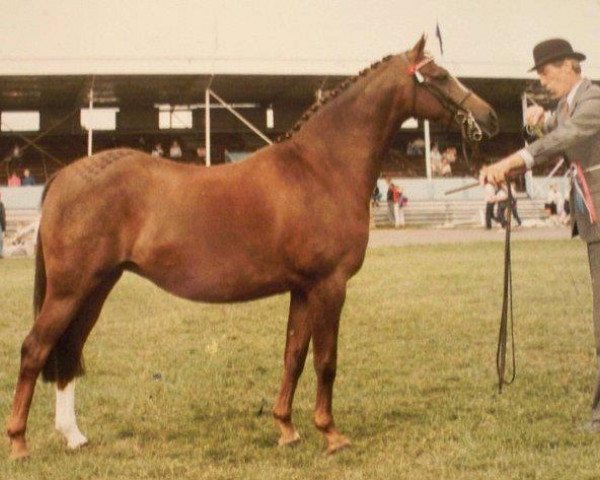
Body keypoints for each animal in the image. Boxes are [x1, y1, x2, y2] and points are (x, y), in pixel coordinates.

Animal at [8, 36, 496, 458]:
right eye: (438, 75)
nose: (489, 118)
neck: (321, 168)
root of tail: (64, 175)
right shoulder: (329, 285)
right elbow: (326, 361)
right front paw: (331, 434)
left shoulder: (303, 288)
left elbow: (293, 356)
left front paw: (287, 428)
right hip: (70, 289)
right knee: (35, 349)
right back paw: (19, 443)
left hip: (96, 287)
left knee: (68, 351)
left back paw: (74, 437)